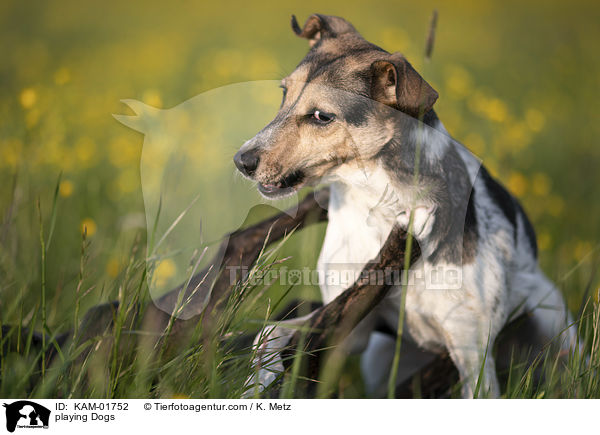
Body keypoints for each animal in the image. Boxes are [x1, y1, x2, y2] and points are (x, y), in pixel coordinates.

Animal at [233, 13, 576, 398]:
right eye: (284, 93)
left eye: (322, 116)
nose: (241, 161)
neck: (379, 206)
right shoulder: (351, 329)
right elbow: (268, 334)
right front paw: (254, 383)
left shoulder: (473, 356)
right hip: (380, 358)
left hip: (555, 327)